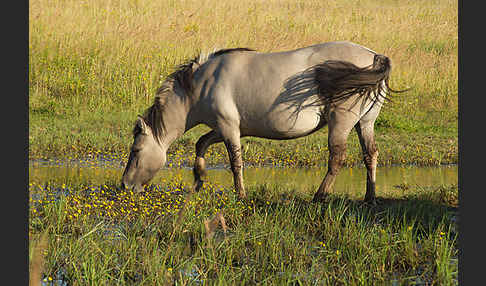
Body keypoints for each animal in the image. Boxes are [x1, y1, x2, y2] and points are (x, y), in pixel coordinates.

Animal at [120, 40, 402, 203]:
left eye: (136, 151)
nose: (125, 185)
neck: (202, 84)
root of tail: (374, 56)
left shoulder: (228, 128)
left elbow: (235, 163)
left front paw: (240, 194)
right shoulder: (225, 128)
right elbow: (201, 144)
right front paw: (198, 181)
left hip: (341, 124)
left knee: (337, 158)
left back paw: (319, 196)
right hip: (364, 123)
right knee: (370, 155)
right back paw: (370, 197)